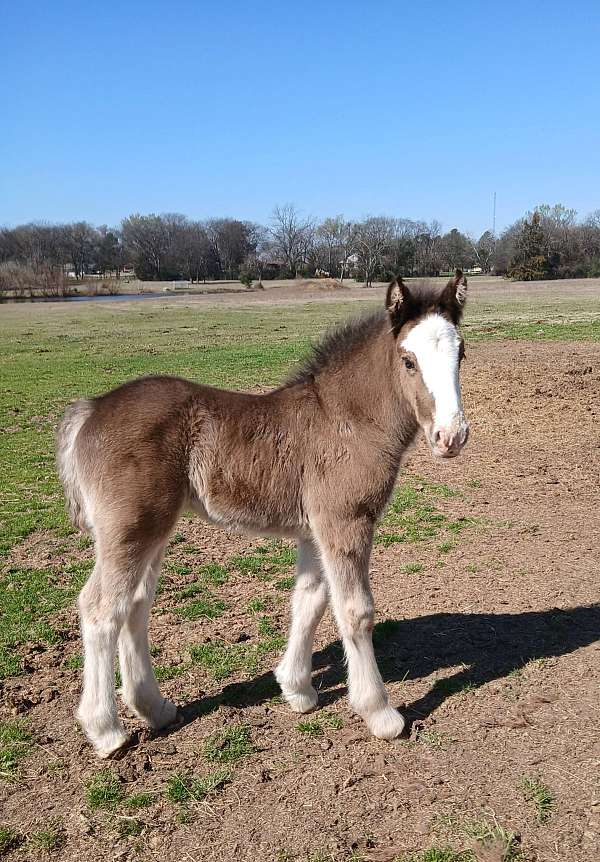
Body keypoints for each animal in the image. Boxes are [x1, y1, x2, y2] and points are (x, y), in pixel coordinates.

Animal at [56, 270, 469, 757]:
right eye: (408, 361)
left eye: (461, 353)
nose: (451, 436)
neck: (349, 421)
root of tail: (91, 409)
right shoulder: (347, 522)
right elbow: (355, 611)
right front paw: (380, 713)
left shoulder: (315, 531)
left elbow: (309, 601)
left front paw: (298, 690)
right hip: (130, 531)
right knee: (101, 610)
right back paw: (106, 730)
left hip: (153, 530)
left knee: (134, 606)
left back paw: (154, 708)